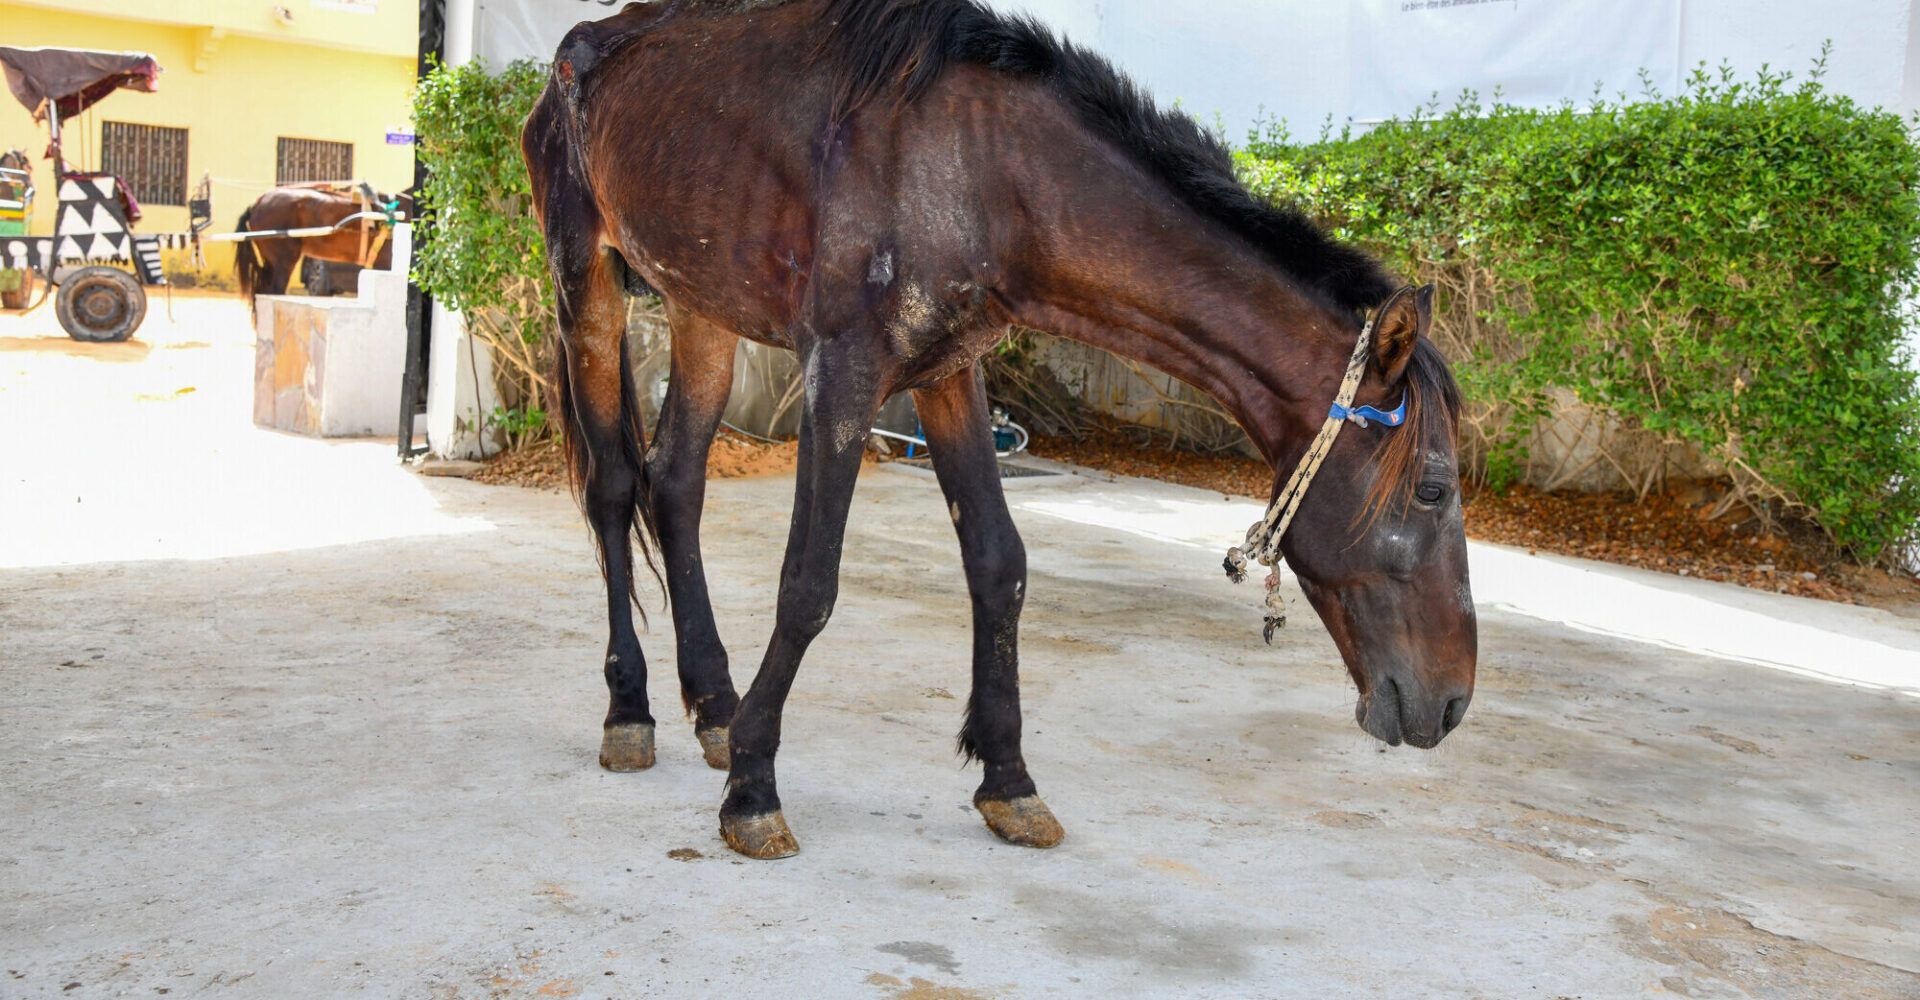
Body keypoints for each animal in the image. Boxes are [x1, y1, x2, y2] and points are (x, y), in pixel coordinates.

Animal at [518, 0, 1474, 856]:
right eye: (1432, 488)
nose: (1454, 703)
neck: (986, 173)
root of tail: (582, 44)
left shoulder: (949, 376)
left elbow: (999, 564)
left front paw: (1008, 778)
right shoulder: (843, 375)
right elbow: (809, 582)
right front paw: (755, 786)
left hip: (701, 307)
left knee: (675, 482)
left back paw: (714, 706)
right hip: (584, 283)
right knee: (614, 489)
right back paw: (632, 711)